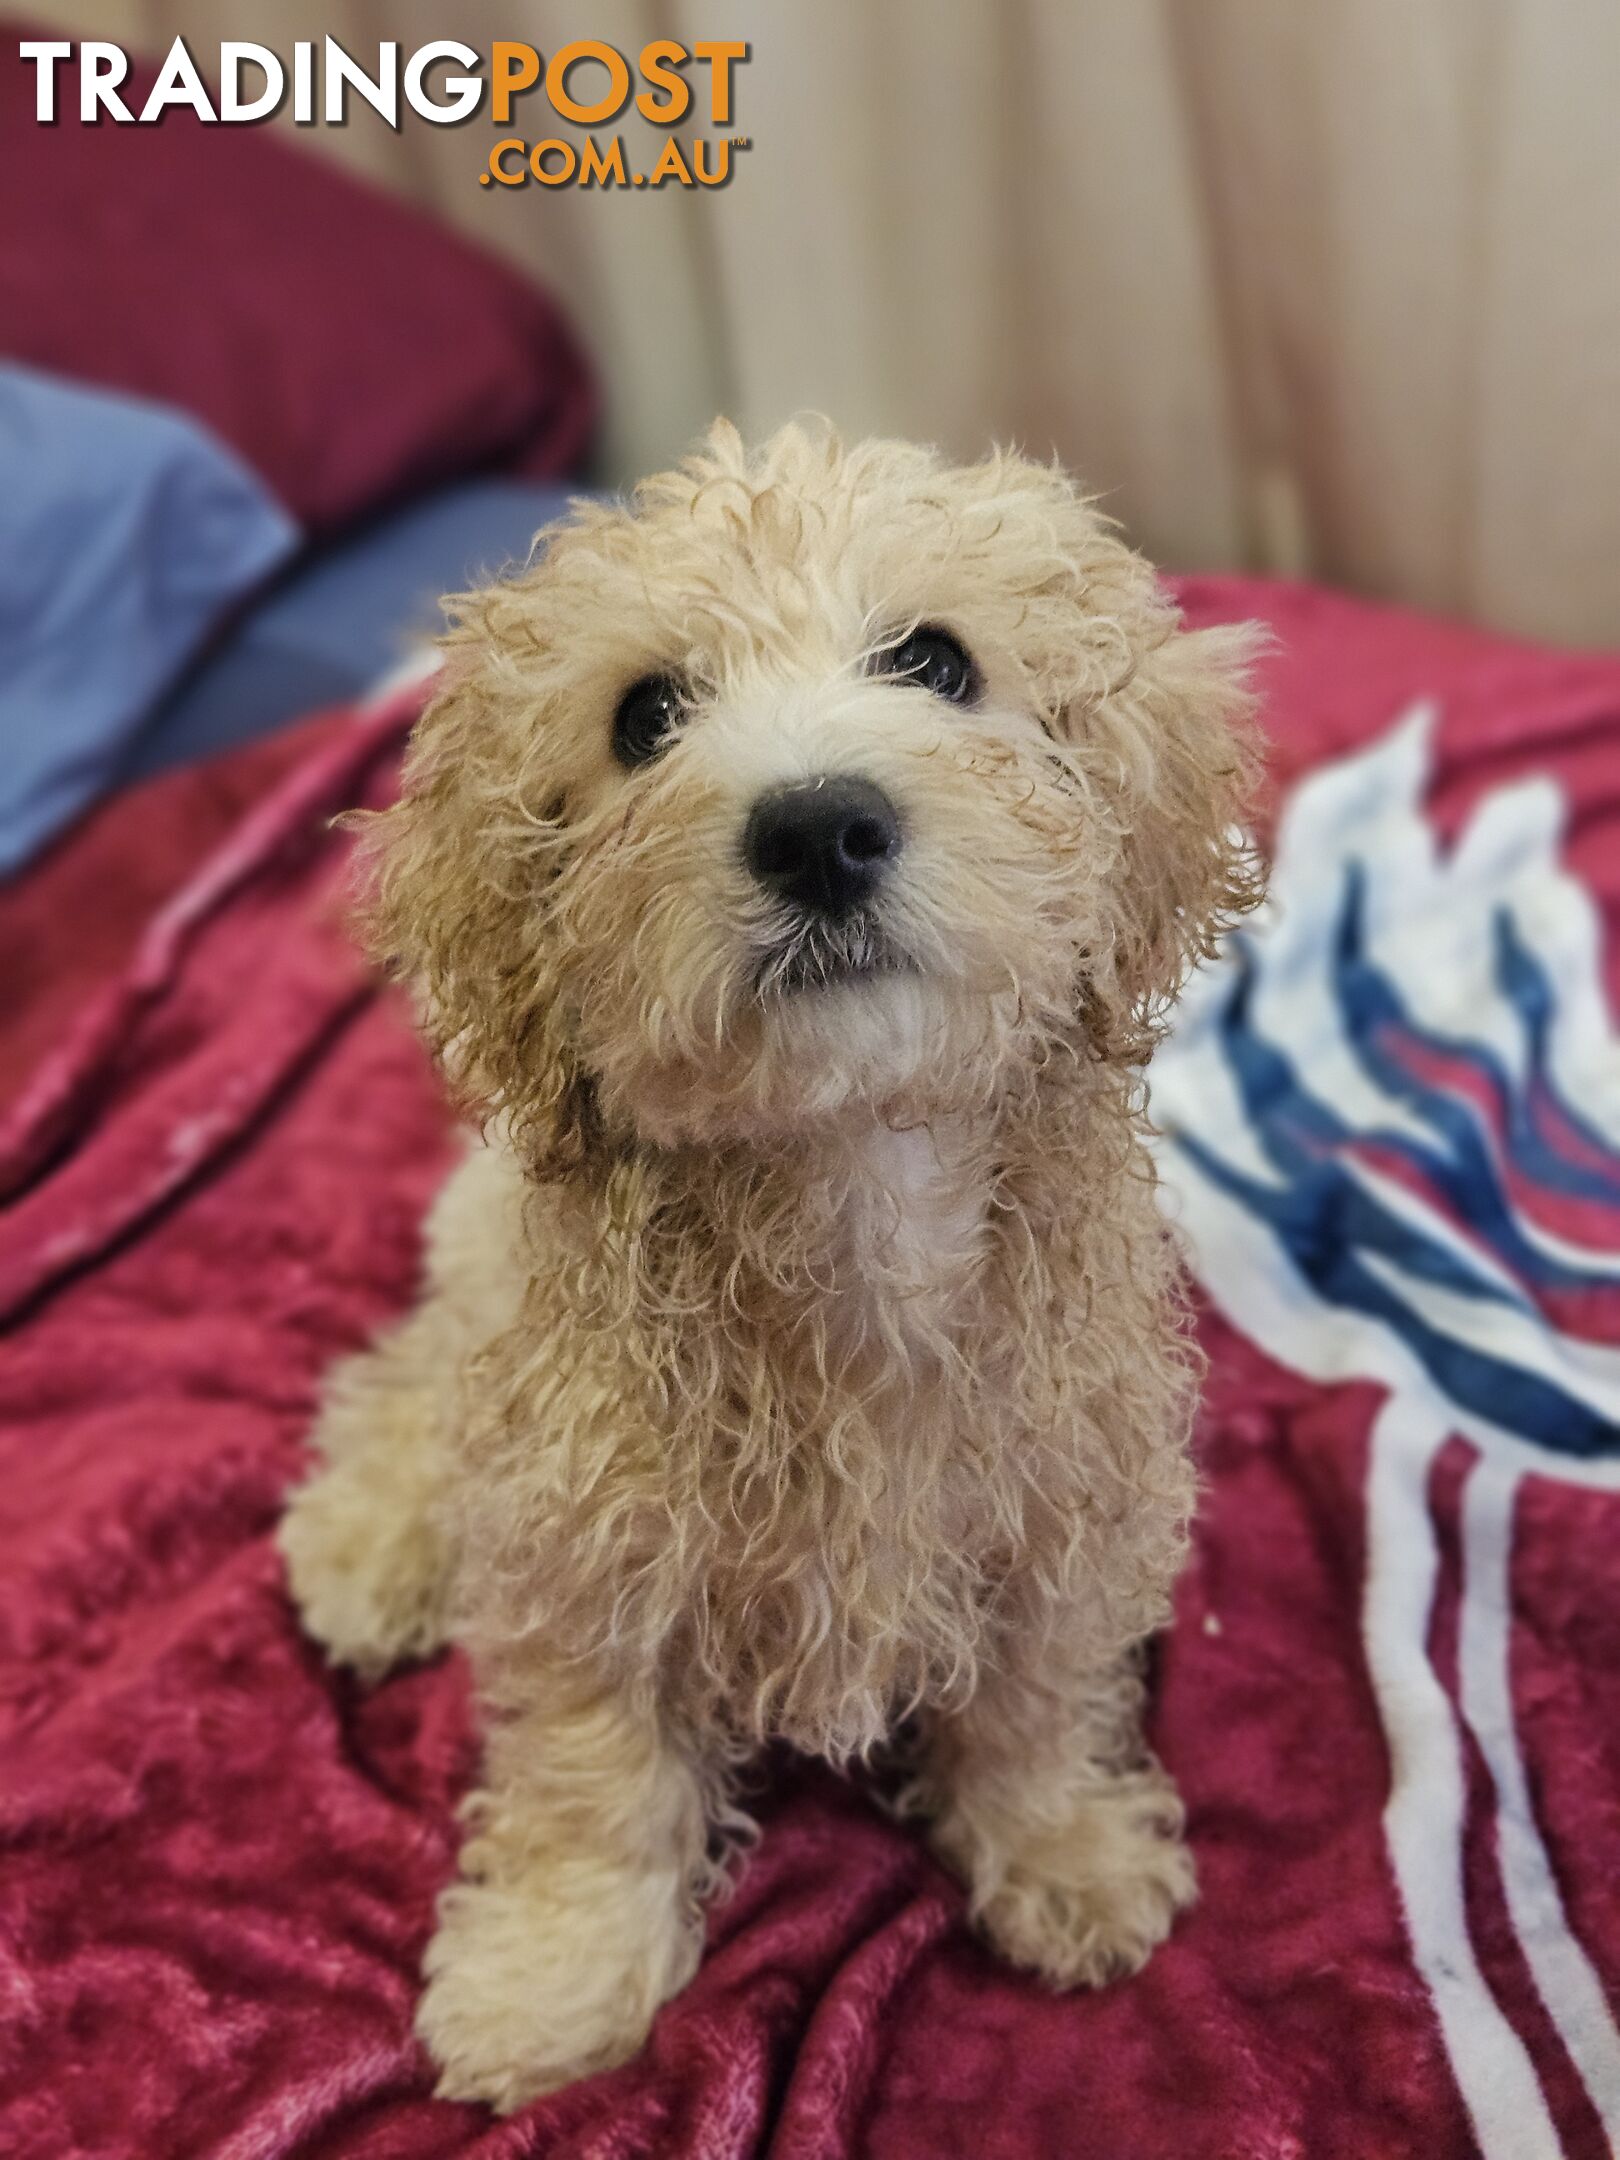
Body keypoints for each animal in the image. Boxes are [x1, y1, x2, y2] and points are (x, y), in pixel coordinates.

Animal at [278, 416, 1270, 2108]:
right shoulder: (586, 1539)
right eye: (645, 716)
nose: (816, 828)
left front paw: (1065, 1851)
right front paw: (552, 1977)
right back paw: (373, 1540)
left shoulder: (1065, 1503)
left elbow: (1034, 1698)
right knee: (415, 1378)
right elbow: (594, 1776)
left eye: (936, 661)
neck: (851, 1181)